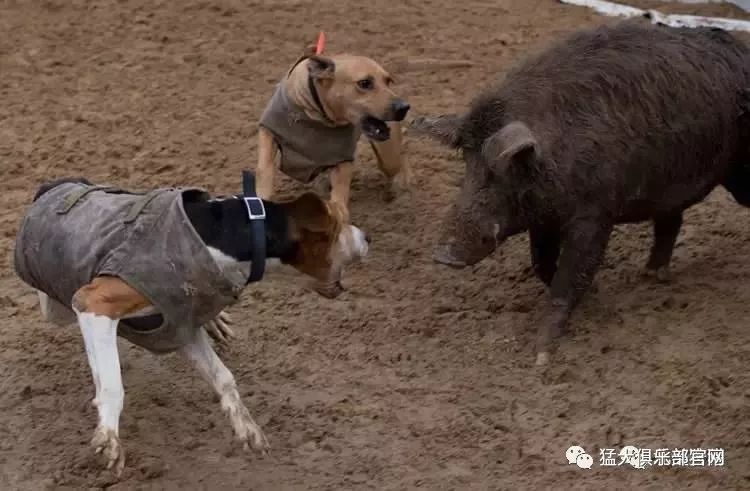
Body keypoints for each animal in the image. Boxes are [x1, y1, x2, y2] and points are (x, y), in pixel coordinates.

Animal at [13, 175, 370, 474]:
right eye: (339, 223)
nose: (366, 237)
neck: (225, 237)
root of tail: (54, 185)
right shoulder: (94, 301)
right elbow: (112, 385)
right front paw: (109, 437)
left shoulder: (182, 326)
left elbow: (224, 378)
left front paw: (248, 428)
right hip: (58, 302)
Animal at [258, 44, 412, 223]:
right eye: (364, 83)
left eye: (388, 81)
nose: (404, 107)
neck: (316, 116)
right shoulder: (269, 131)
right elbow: (265, 168)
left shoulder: (342, 159)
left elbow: (339, 196)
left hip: (389, 156)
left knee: (400, 157)